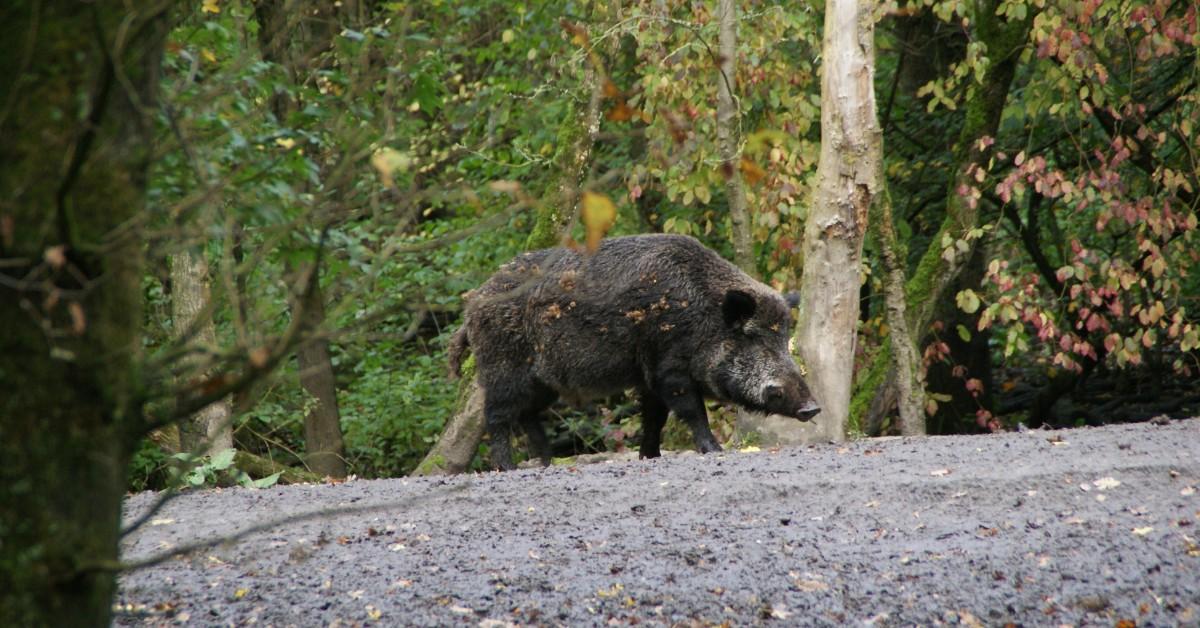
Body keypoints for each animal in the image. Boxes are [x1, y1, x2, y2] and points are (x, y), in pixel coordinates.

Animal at [448, 233, 820, 470]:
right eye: (754, 338)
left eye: (783, 338)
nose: (812, 407)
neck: (703, 318)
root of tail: (473, 305)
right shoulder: (669, 369)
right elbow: (691, 411)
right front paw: (714, 450)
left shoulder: (650, 377)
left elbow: (655, 417)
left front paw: (651, 457)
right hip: (503, 369)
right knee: (497, 416)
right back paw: (508, 468)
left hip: (543, 383)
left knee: (527, 415)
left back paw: (547, 462)